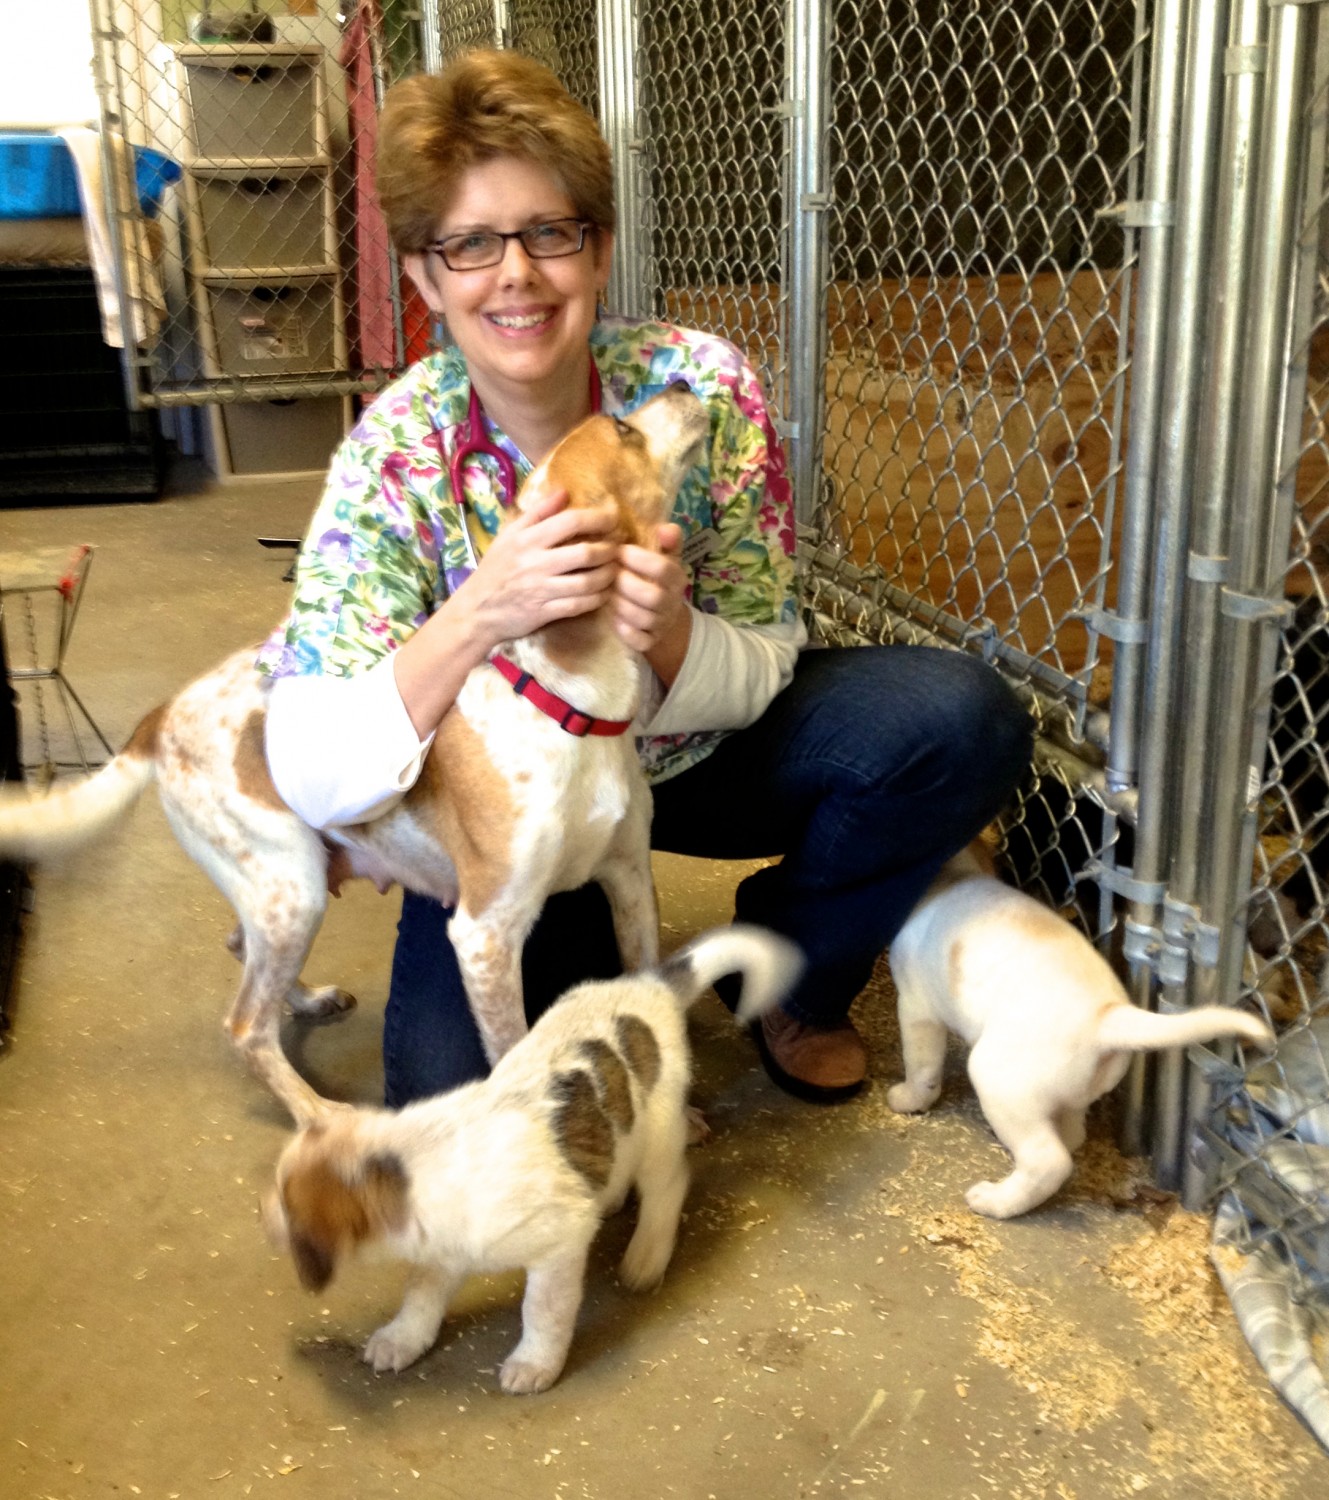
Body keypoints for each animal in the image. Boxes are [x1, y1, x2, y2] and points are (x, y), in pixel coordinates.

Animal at [0, 387, 714, 1128]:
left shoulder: (629, 880)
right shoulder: (486, 934)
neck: (566, 705)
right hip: (293, 890)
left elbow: (650, 997)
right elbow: (516, 1053)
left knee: (240, 951)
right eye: (622, 429)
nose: (685, 388)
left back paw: (308, 1002)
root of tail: (162, 713)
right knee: (245, 1028)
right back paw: (321, 1115)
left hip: (281, 895)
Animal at [259, 924, 804, 1392]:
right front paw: (401, 1339)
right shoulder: (444, 1251)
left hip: (660, 1133)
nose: (262, 1215)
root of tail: (651, 985)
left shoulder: (555, 1251)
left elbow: (543, 1311)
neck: (415, 1165)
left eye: (285, 1200)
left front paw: (534, 1364)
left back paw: (646, 1257)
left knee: (667, 1190)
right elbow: (421, 1295)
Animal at [888, 846, 1272, 1218]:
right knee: (1071, 1134)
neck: (953, 874)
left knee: (1049, 1161)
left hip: (996, 1080)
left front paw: (908, 1099)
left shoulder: (916, 1009)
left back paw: (995, 1201)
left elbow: (921, 1067)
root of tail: (1106, 1016)